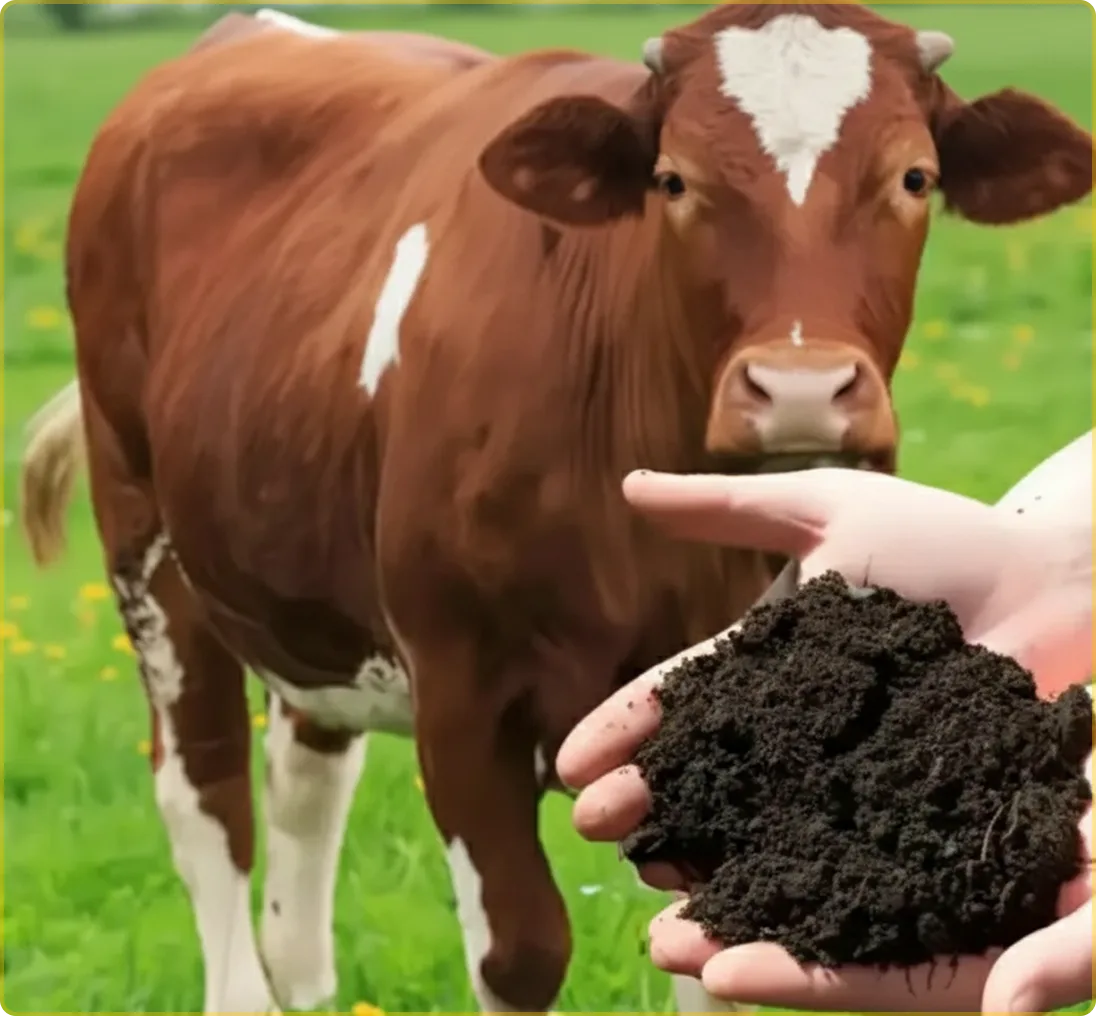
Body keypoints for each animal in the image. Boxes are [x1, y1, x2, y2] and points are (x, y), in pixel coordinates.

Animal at [18, 4, 1092, 1014]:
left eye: (913, 178)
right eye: (673, 181)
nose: (799, 389)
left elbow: (701, 960)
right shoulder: (459, 695)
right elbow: (522, 952)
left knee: (304, 786)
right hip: (145, 539)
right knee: (205, 794)